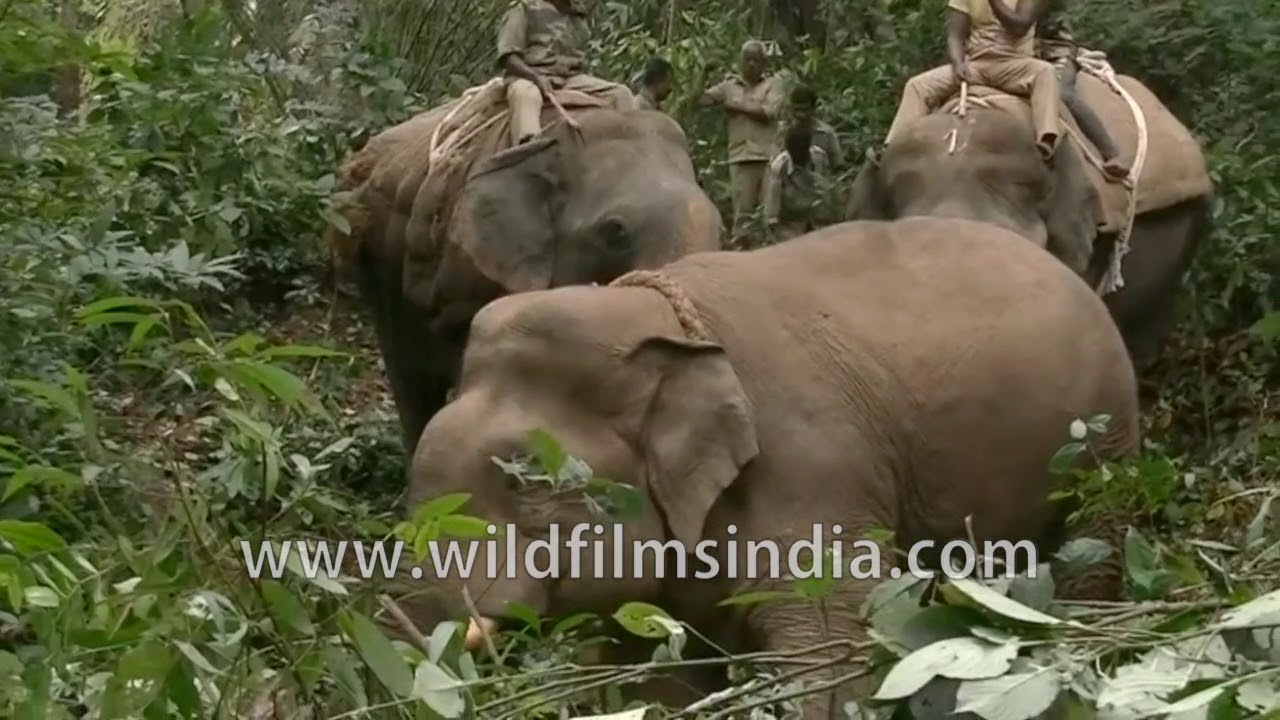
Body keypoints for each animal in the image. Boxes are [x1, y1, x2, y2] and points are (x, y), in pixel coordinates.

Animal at [392, 217, 1141, 717]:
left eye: (523, 479)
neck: (650, 314)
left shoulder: (812, 474)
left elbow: (827, 650)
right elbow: (653, 679)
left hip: (1104, 448)